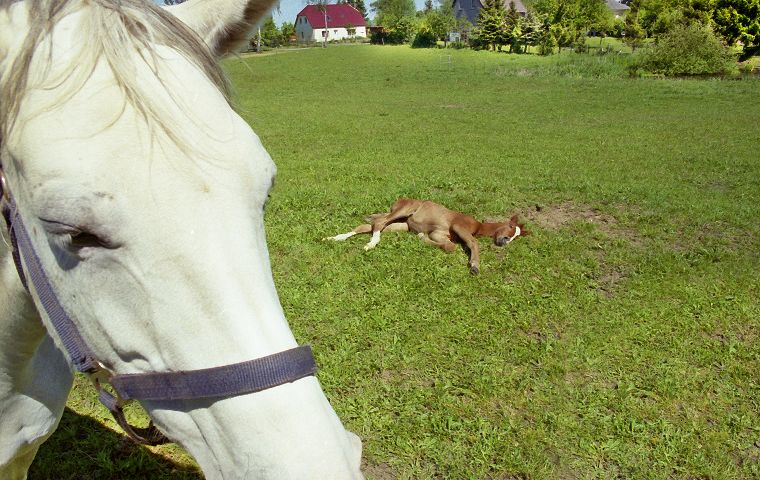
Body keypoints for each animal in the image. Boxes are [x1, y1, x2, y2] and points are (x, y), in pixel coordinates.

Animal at [325, 198, 528, 274]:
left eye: (516, 237)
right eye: (510, 228)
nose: (504, 242)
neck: (477, 225)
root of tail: (399, 201)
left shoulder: (439, 235)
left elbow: (448, 245)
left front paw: (422, 237)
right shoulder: (459, 226)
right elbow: (470, 243)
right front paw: (475, 267)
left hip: (401, 225)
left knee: (369, 225)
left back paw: (333, 238)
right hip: (403, 211)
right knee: (378, 223)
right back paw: (371, 244)